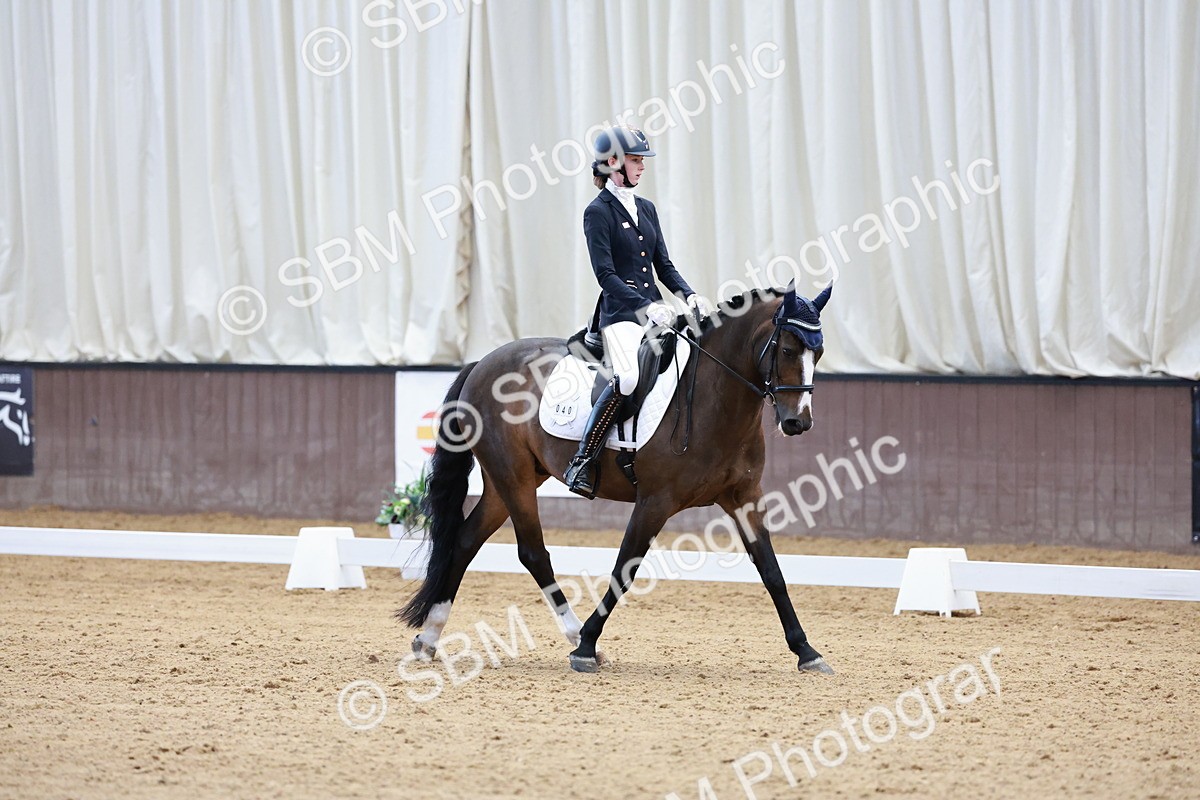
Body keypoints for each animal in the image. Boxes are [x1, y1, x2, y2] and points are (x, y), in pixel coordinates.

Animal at [398, 284, 835, 675]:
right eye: (787, 349)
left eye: (818, 352)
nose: (798, 422)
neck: (715, 398)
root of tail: (481, 363)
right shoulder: (655, 501)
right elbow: (624, 569)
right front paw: (587, 648)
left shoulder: (744, 497)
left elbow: (771, 571)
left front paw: (807, 651)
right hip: (513, 477)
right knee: (533, 553)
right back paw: (573, 634)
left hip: (508, 480)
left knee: (465, 540)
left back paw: (429, 638)